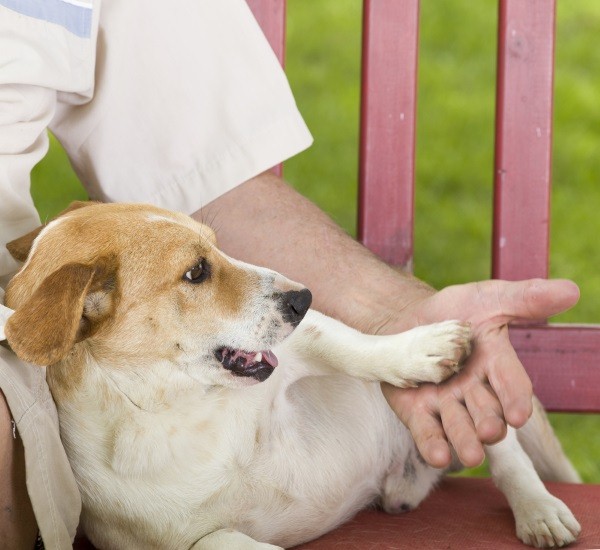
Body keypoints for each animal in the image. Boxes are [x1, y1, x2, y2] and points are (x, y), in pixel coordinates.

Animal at [1, 204, 580, 550]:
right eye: (196, 272)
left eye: (217, 246)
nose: (303, 296)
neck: (174, 405)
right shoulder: (180, 541)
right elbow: (219, 541)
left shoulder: (306, 345)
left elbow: (357, 349)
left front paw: (418, 349)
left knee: (508, 455)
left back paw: (539, 511)